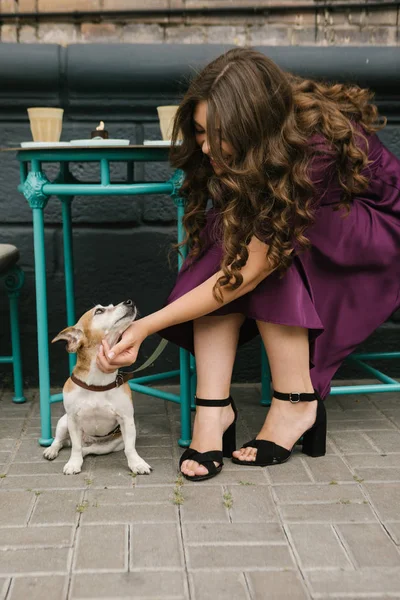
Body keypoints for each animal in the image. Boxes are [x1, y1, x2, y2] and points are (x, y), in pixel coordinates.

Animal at [42, 300, 152, 478]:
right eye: (99, 311)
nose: (129, 301)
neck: (98, 381)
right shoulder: (73, 420)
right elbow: (75, 447)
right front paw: (73, 463)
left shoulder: (126, 420)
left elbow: (130, 449)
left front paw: (137, 463)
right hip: (63, 422)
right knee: (61, 441)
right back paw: (52, 450)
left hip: (111, 444)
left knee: (88, 449)